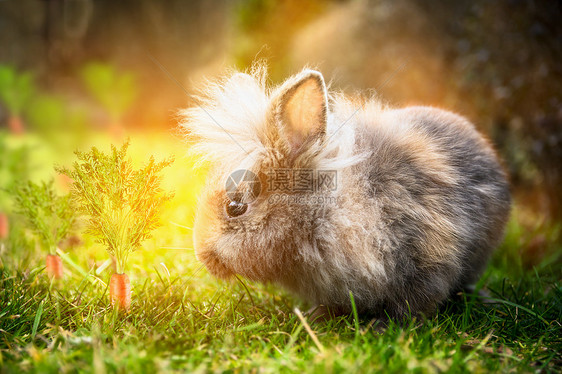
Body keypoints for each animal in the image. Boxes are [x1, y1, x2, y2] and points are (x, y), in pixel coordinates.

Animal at [180, 65, 512, 318]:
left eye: (236, 206)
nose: (201, 255)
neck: (326, 215)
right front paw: (317, 316)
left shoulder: (428, 255)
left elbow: (413, 303)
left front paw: (382, 327)